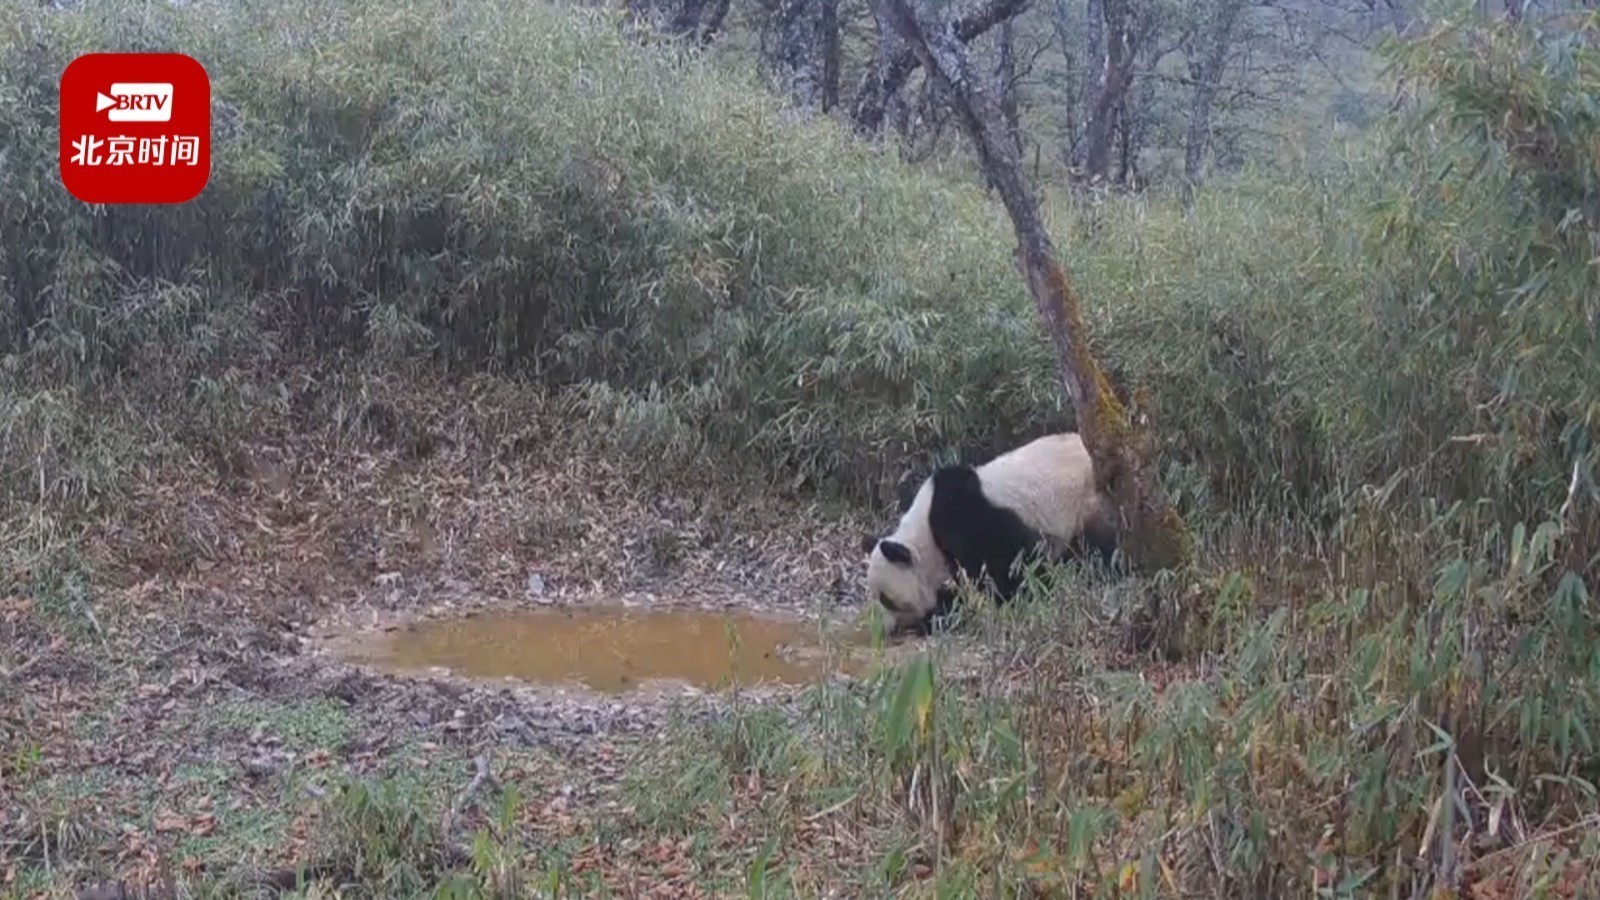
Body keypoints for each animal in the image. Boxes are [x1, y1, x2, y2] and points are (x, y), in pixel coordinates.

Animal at [857, 429, 1120, 630]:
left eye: (887, 600)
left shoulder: (966, 518)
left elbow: (1013, 565)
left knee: (1098, 552)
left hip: (1090, 504)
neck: (924, 533)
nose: (887, 629)